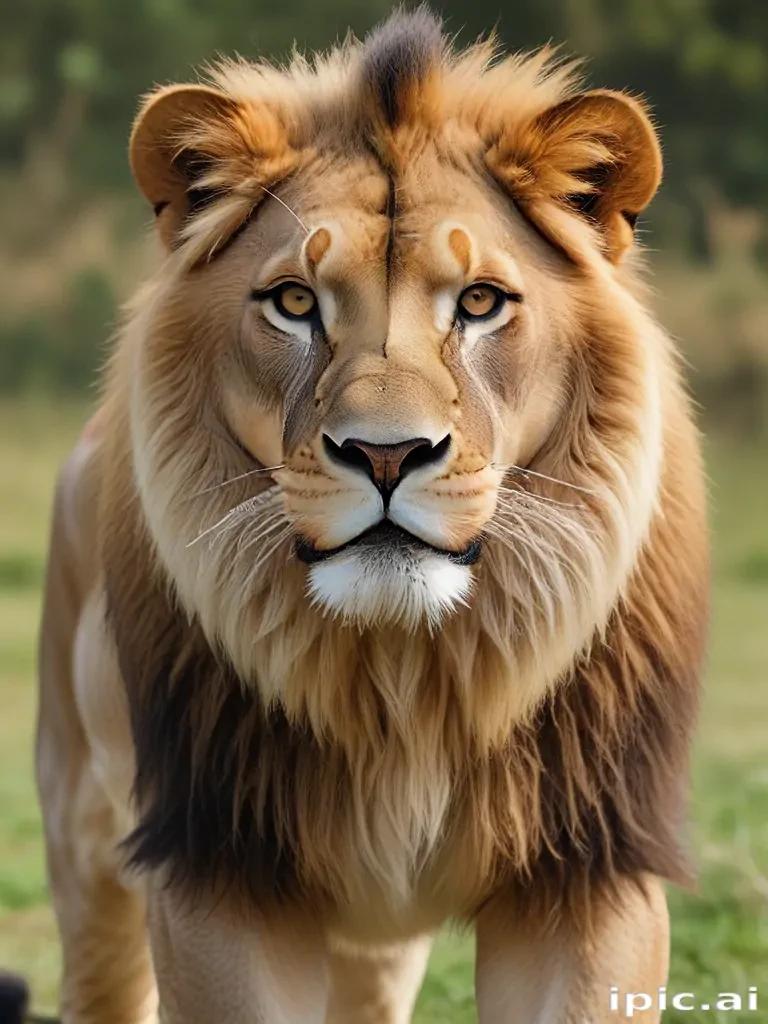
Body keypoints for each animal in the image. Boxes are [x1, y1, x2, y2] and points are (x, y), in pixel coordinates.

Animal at [35, 8, 708, 1023]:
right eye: (294, 301)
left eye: (479, 302)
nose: (387, 455)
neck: (405, 676)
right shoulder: (217, 866)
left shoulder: (590, 864)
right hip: (85, 840)